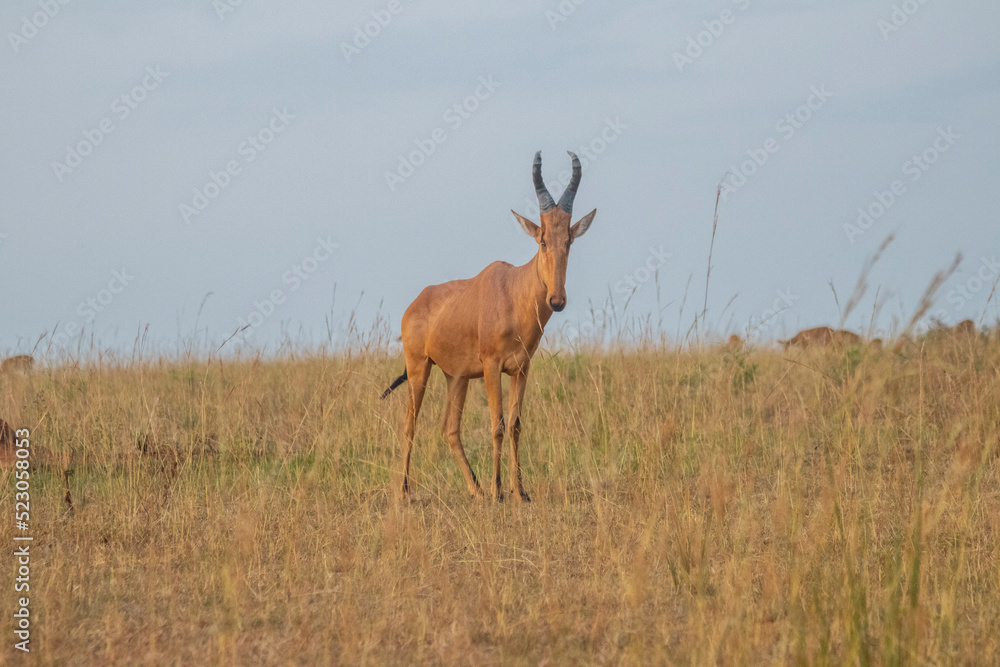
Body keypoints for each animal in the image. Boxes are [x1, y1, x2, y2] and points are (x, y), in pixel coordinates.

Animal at [382, 152, 597, 501]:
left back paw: (476, 490)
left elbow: (515, 425)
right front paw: (499, 491)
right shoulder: (492, 367)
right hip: (418, 367)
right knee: (409, 424)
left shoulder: (521, 369)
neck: (513, 291)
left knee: (450, 429)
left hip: (456, 377)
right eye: (542, 240)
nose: (556, 300)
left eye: (569, 240)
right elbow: (497, 425)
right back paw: (404, 492)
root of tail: (416, 303)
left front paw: (519, 491)